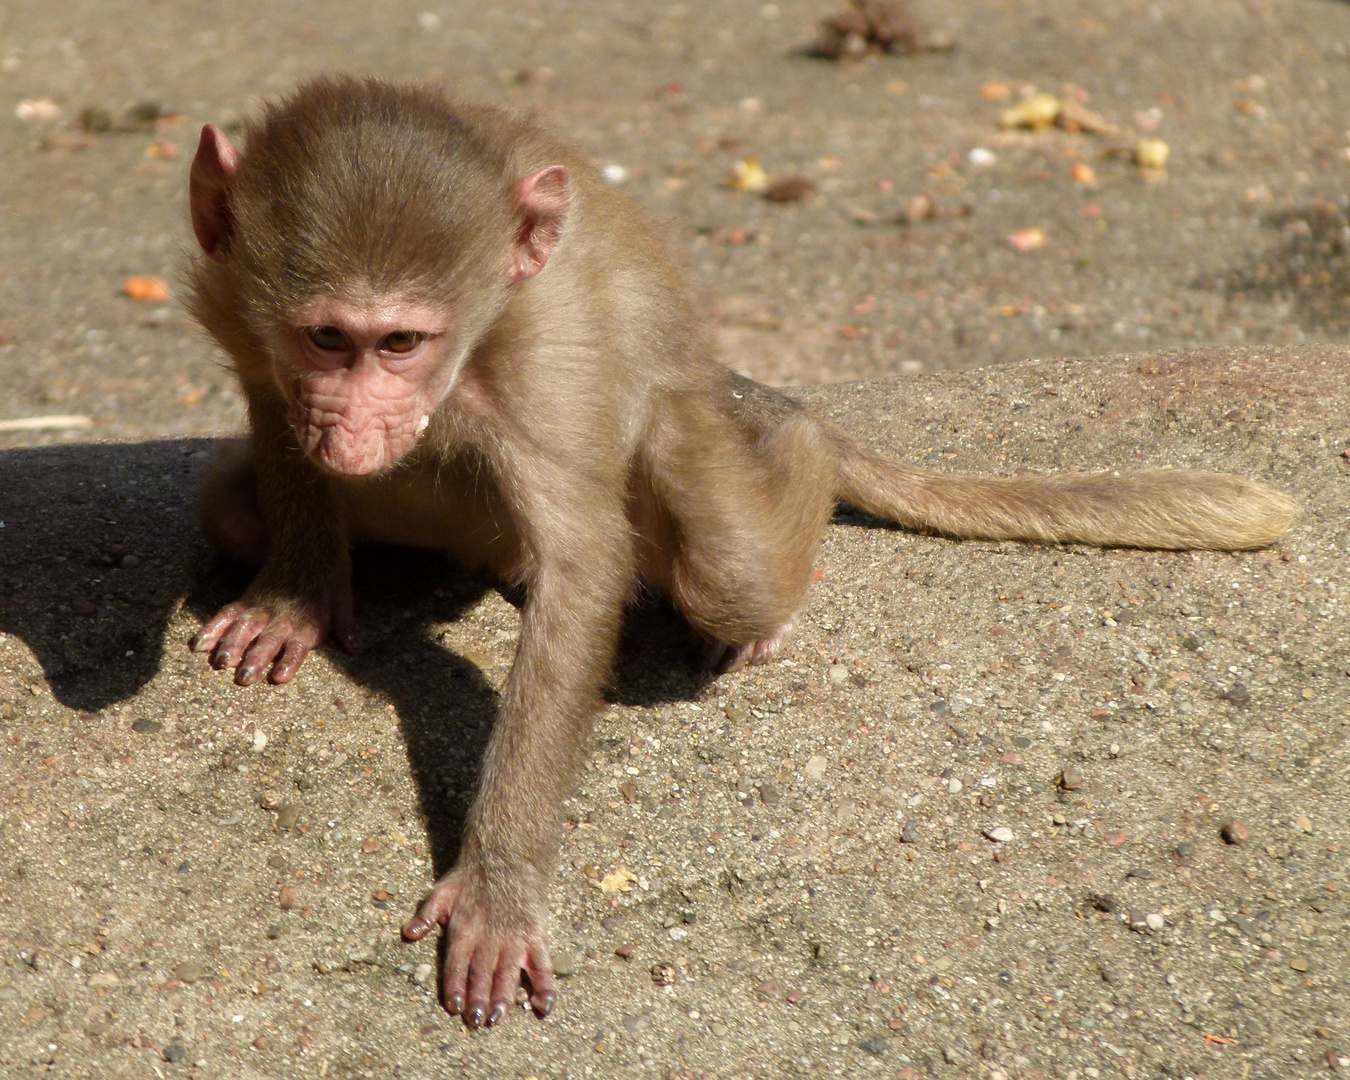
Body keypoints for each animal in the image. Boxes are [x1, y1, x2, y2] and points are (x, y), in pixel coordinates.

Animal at [187, 75, 1296, 1031]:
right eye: (327, 339)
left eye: (402, 344)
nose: (351, 433)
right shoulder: (240, 306)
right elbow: (273, 422)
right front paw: (292, 594)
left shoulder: (545, 351)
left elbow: (583, 571)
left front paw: (499, 885)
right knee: (233, 506)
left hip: (704, 435)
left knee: (726, 551)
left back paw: (793, 463)